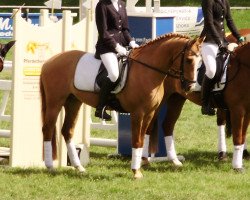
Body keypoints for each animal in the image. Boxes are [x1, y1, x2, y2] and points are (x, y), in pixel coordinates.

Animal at [39, 33, 203, 179]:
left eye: (200, 61)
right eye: (189, 60)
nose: (190, 87)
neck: (147, 71)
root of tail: (49, 62)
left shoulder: (149, 112)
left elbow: (142, 138)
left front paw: (139, 166)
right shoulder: (137, 113)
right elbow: (136, 140)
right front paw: (136, 172)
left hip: (73, 102)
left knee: (67, 131)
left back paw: (79, 167)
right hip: (55, 102)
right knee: (48, 129)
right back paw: (50, 167)